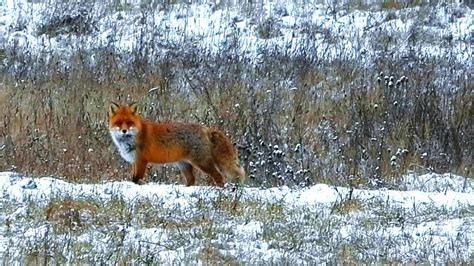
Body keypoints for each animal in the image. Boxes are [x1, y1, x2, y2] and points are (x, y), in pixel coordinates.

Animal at [107, 102, 244, 187]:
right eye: (119, 123)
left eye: (129, 122)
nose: (124, 131)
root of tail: (206, 129)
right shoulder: (134, 161)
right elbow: (133, 178)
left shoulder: (141, 161)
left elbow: (136, 179)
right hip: (184, 164)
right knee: (191, 180)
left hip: (202, 163)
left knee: (219, 177)